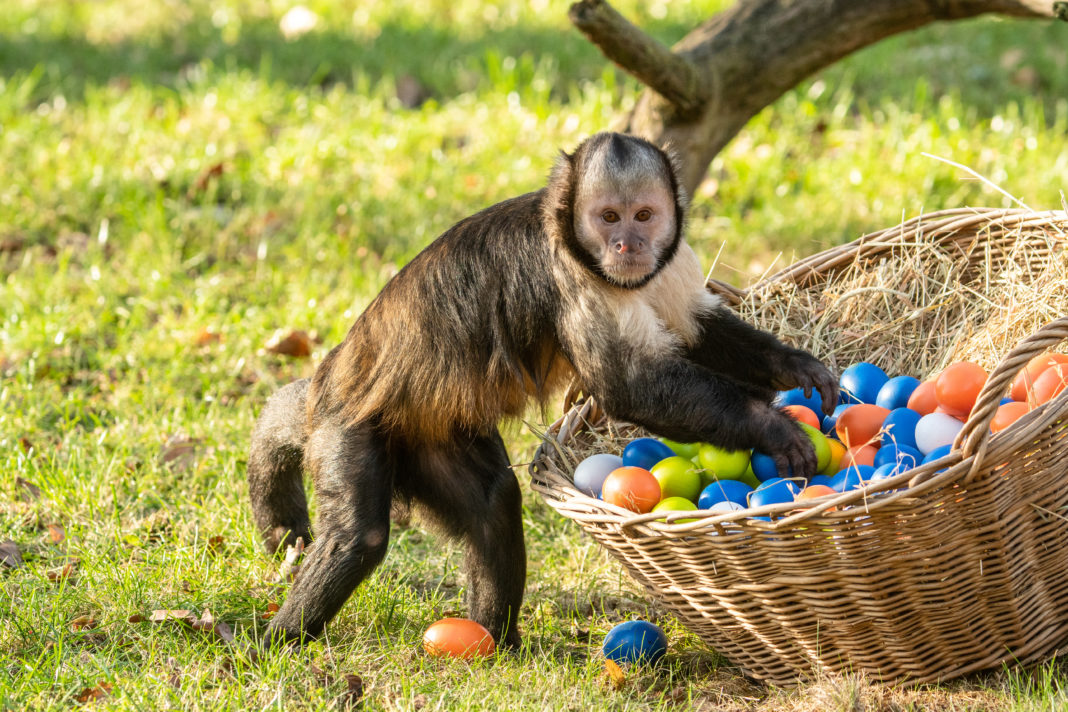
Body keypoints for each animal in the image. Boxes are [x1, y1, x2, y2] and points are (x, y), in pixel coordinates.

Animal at [245, 130, 837, 649]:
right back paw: (276, 644)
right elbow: (630, 387)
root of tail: (335, 372)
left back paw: (495, 643)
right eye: (608, 217)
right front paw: (774, 428)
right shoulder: (569, 275)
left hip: (423, 433)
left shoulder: (666, 262)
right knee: (358, 536)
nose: (627, 244)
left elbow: (697, 332)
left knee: (494, 501)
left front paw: (798, 367)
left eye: (644, 215)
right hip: (350, 423)